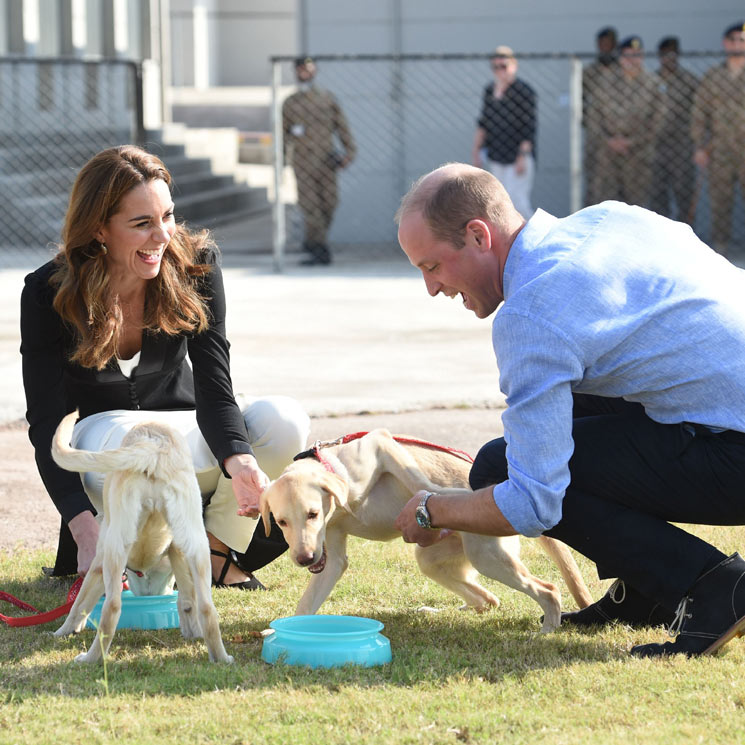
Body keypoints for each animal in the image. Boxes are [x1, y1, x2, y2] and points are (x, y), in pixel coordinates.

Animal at [50, 412, 231, 664]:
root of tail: (153, 447)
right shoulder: (177, 550)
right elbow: (187, 600)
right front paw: (192, 631)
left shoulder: (99, 561)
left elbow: (80, 603)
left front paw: (63, 630)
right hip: (197, 542)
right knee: (207, 607)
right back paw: (221, 658)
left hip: (116, 545)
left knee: (112, 607)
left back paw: (90, 658)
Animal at [258, 430, 588, 628]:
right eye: (281, 521)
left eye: (312, 514)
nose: (305, 559)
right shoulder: (333, 558)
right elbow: (306, 604)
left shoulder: (380, 442)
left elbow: (417, 479)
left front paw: (437, 494)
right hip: (433, 561)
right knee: (488, 600)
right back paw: (442, 611)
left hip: (489, 558)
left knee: (548, 590)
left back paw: (547, 629)